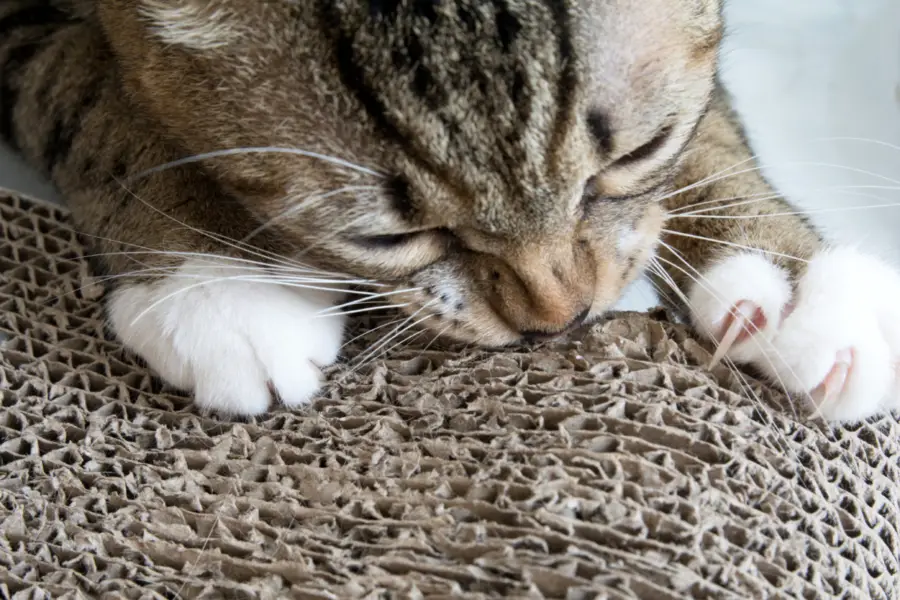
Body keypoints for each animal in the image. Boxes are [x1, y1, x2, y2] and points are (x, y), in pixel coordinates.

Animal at [0, 0, 896, 422]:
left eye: (640, 151)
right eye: (387, 237)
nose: (561, 317)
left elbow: (704, 119)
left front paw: (791, 282)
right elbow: (87, 85)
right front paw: (218, 274)